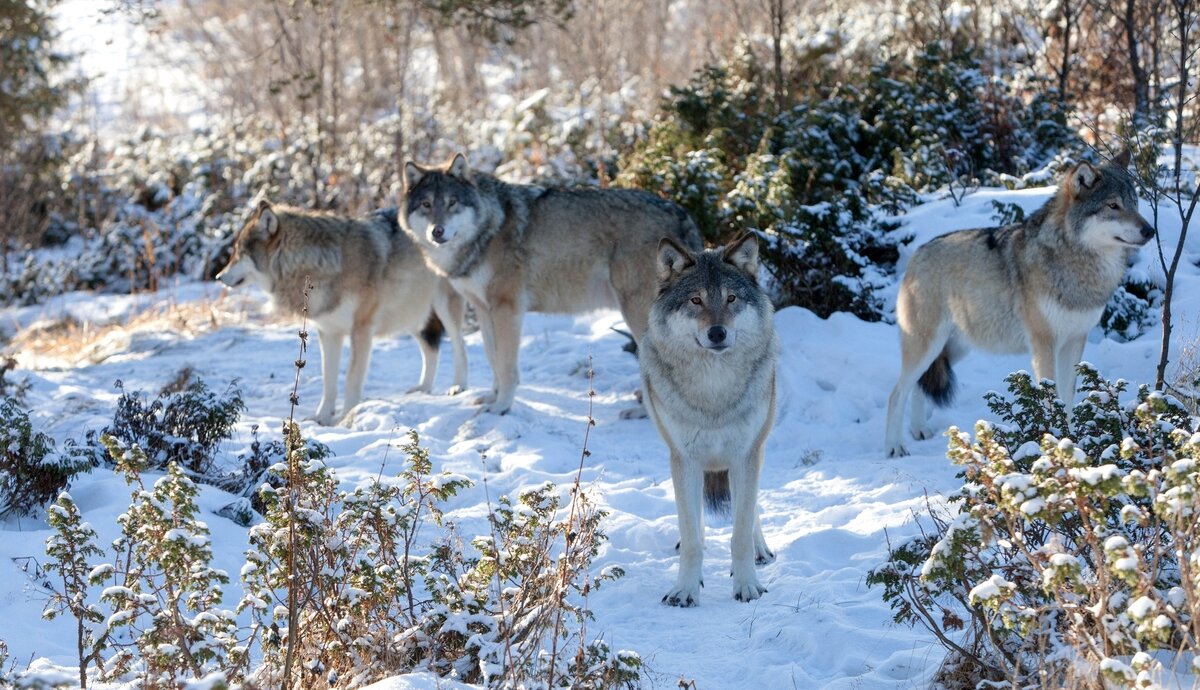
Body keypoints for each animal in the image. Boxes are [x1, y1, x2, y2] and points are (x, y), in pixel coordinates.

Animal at [216, 199, 468, 427]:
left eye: (238, 252)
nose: (218, 277)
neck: (324, 264)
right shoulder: (328, 332)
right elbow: (329, 381)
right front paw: (321, 418)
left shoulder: (362, 329)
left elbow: (351, 380)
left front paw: (346, 417)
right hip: (412, 314)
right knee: (431, 349)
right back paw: (423, 389)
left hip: (443, 306)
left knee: (459, 344)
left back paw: (459, 387)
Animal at [400, 152, 700, 415]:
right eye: (426, 205)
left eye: (452, 203)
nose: (437, 231)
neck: (489, 229)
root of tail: (680, 211)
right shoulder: (485, 311)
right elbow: (492, 359)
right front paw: (491, 397)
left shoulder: (507, 309)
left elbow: (506, 366)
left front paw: (501, 407)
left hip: (636, 312)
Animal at [638, 235, 777, 607]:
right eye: (696, 300)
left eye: (731, 298)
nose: (717, 333)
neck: (713, 391)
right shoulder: (684, 459)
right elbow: (692, 537)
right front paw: (685, 589)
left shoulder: (746, 455)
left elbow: (740, 531)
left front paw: (747, 585)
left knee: (751, 509)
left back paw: (761, 549)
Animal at [888, 150, 1156, 458]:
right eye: (1113, 205)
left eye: (1135, 204)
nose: (1150, 231)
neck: (1077, 265)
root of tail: (916, 254)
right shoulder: (1044, 344)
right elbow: (1051, 399)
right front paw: (1055, 445)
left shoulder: (1075, 341)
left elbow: (1067, 399)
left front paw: (1072, 444)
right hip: (927, 346)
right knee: (897, 393)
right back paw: (894, 447)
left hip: (954, 349)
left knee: (919, 386)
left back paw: (919, 430)